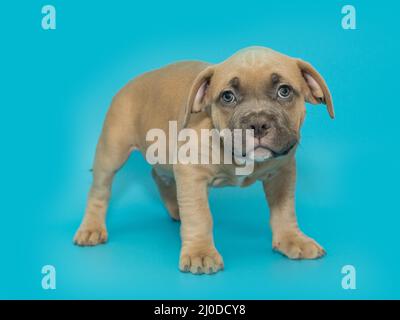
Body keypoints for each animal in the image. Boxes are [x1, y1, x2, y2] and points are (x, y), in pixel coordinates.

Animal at [73, 47, 332, 276]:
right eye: (227, 96)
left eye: (284, 91)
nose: (258, 123)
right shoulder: (191, 173)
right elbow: (200, 216)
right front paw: (200, 253)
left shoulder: (282, 173)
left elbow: (284, 210)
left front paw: (291, 239)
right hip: (111, 152)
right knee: (100, 189)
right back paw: (92, 227)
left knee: (159, 176)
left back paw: (176, 209)